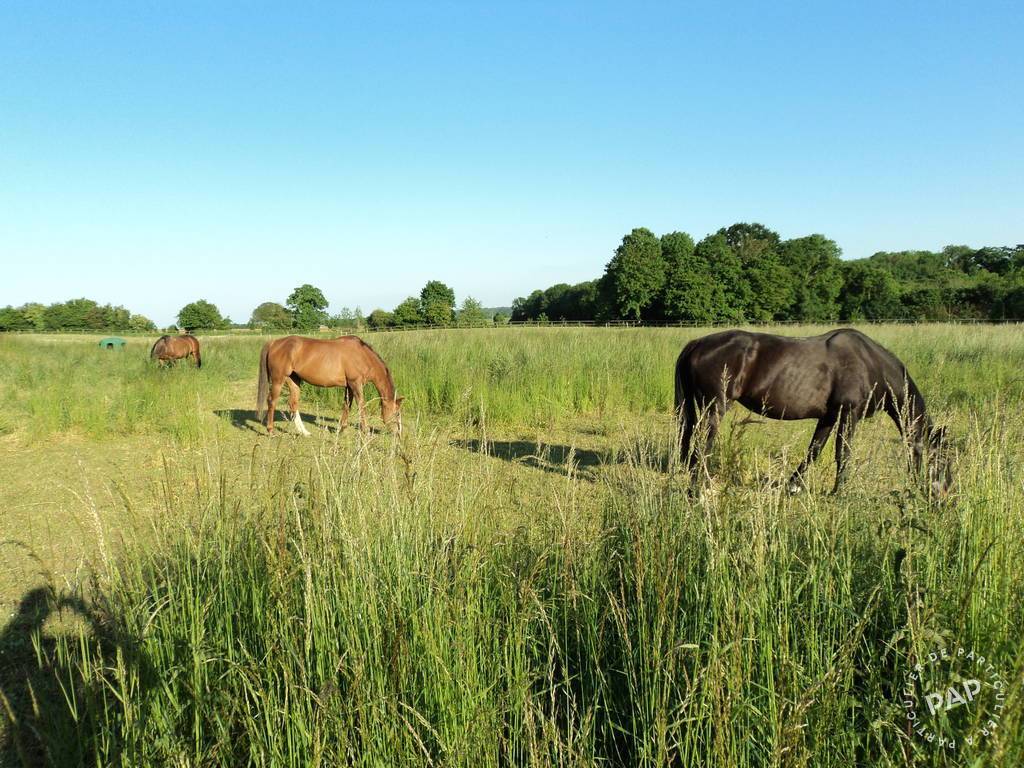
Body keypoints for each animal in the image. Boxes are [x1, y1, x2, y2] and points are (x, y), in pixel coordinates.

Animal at [256, 335, 403, 436]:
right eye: (397, 413)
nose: (398, 433)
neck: (362, 356)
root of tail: (274, 343)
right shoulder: (355, 384)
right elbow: (361, 406)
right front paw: (366, 432)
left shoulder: (349, 386)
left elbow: (347, 406)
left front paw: (341, 429)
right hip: (278, 380)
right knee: (272, 401)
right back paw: (271, 431)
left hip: (294, 380)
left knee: (293, 404)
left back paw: (304, 432)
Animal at [671, 331, 950, 499]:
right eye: (944, 460)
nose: (943, 495)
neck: (871, 364)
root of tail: (697, 343)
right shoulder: (849, 414)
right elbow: (843, 453)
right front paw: (839, 492)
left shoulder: (828, 417)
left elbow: (814, 450)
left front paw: (793, 485)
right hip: (714, 408)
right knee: (701, 447)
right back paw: (698, 490)